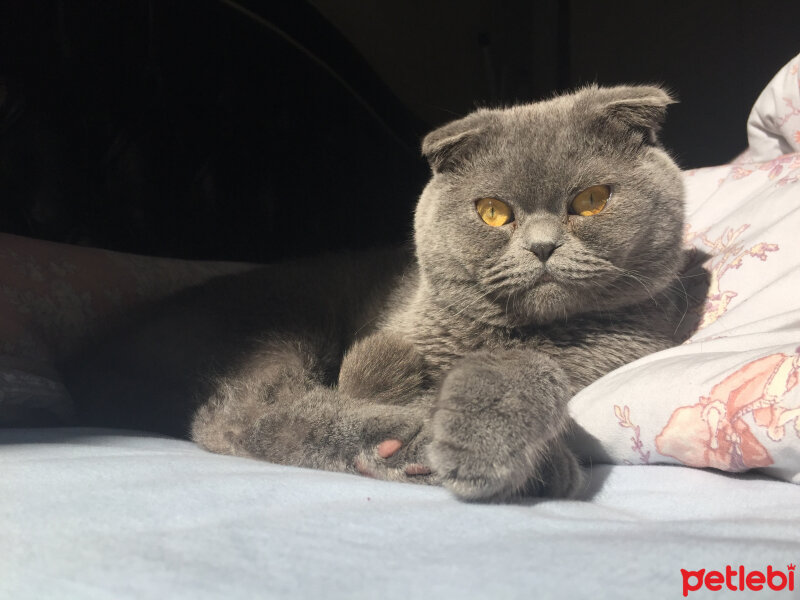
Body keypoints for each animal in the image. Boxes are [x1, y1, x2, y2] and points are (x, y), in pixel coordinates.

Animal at [65, 84, 708, 502]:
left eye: (591, 201)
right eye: (493, 212)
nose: (543, 246)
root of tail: (93, 361)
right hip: (282, 329)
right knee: (243, 418)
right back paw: (407, 445)